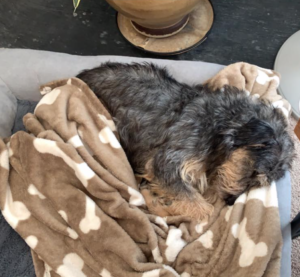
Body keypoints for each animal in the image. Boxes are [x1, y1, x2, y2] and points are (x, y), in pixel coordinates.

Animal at [77, 62, 296, 218]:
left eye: (258, 183)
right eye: (253, 172)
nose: (231, 202)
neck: (221, 124)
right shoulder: (166, 163)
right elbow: (201, 209)